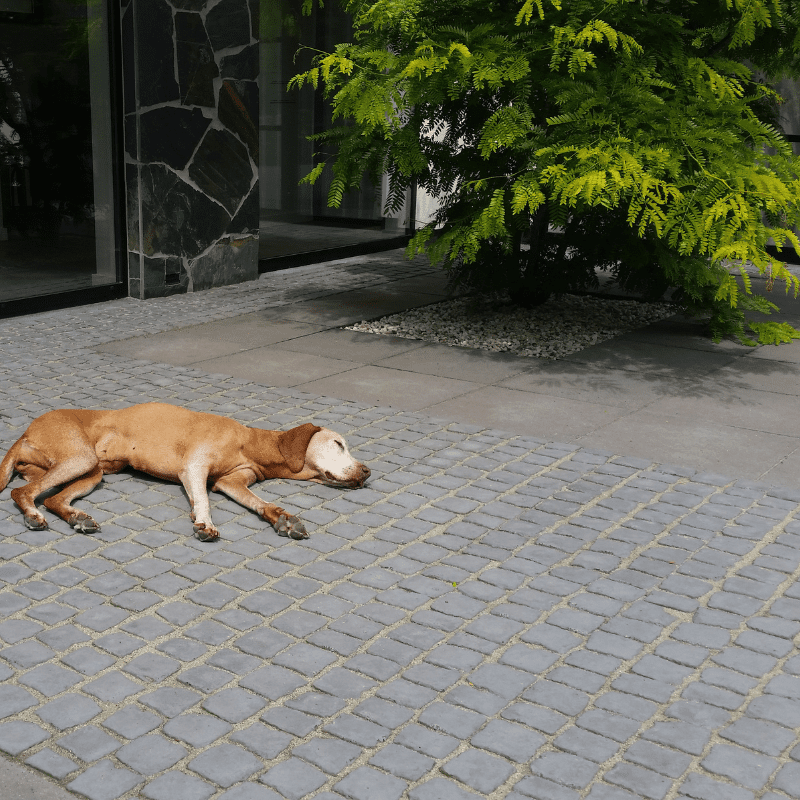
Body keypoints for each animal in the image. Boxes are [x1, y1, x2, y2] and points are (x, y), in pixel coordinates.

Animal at [0, 404, 368, 540]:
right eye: (338, 443)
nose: (367, 471)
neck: (251, 442)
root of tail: (25, 432)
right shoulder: (194, 467)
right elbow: (202, 499)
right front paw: (204, 522)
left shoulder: (233, 482)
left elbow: (259, 503)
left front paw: (283, 518)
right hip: (79, 458)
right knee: (22, 492)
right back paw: (32, 515)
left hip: (93, 472)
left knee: (52, 499)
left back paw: (77, 517)